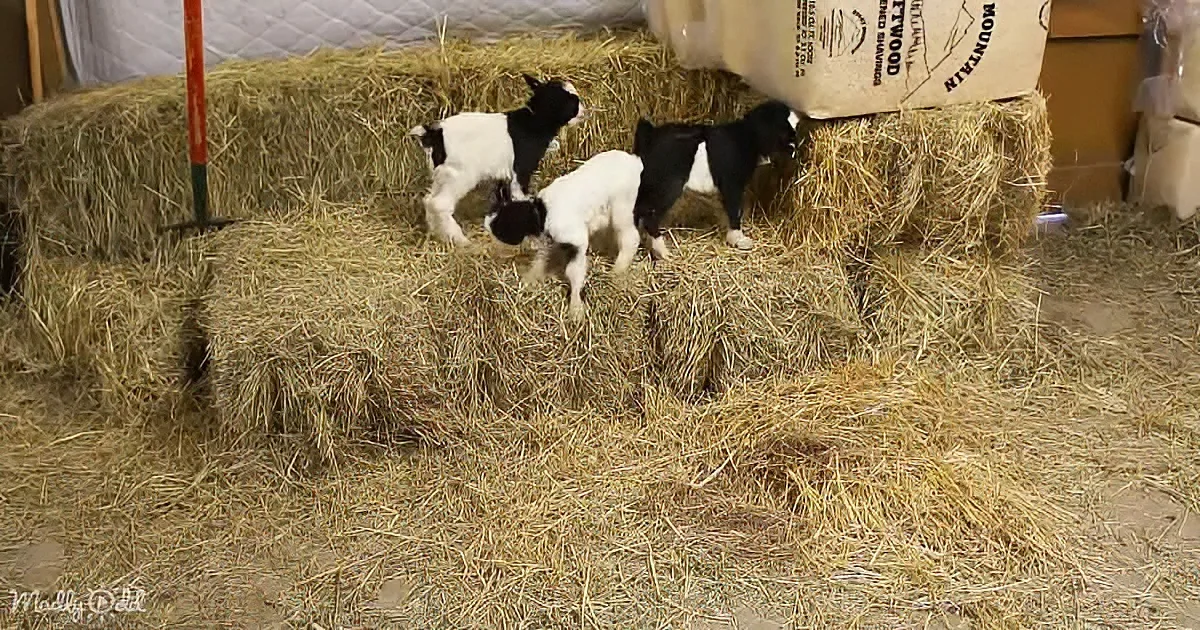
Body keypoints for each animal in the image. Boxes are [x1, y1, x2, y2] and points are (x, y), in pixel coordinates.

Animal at [408, 74, 584, 245]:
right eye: (570, 100)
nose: (584, 111)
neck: (531, 123)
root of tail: (433, 134)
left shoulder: (504, 175)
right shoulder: (521, 169)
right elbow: (519, 195)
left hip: (442, 175)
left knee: (428, 200)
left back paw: (438, 234)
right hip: (458, 175)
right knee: (439, 204)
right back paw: (460, 241)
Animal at [483, 150, 644, 320]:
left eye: (502, 229)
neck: (542, 213)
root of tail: (635, 161)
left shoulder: (576, 239)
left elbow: (573, 270)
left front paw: (575, 309)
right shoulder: (555, 240)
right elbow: (544, 256)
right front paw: (531, 278)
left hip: (623, 207)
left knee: (630, 238)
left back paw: (617, 271)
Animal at [631, 100, 801, 259]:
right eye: (785, 128)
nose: (795, 146)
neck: (747, 136)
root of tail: (648, 136)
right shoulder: (732, 183)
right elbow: (734, 210)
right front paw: (738, 239)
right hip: (667, 187)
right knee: (650, 216)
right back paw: (663, 252)